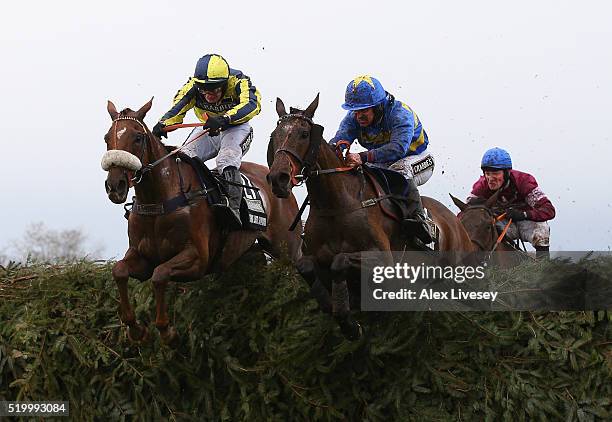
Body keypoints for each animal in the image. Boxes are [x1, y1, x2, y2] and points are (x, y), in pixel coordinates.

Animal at [103, 99, 304, 346]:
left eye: (137, 137)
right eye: (106, 138)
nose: (115, 186)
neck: (159, 200)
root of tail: (277, 181)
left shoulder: (197, 259)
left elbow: (160, 275)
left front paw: (166, 331)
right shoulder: (142, 257)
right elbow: (119, 271)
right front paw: (135, 328)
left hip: (288, 248)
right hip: (249, 253)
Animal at [266, 95, 470, 340]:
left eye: (304, 134)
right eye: (274, 136)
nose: (278, 178)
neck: (336, 205)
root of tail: (457, 222)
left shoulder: (382, 259)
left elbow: (340, 261)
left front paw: (348, 322)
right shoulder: (315, 257)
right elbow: (305, 267)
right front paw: (333, 306)